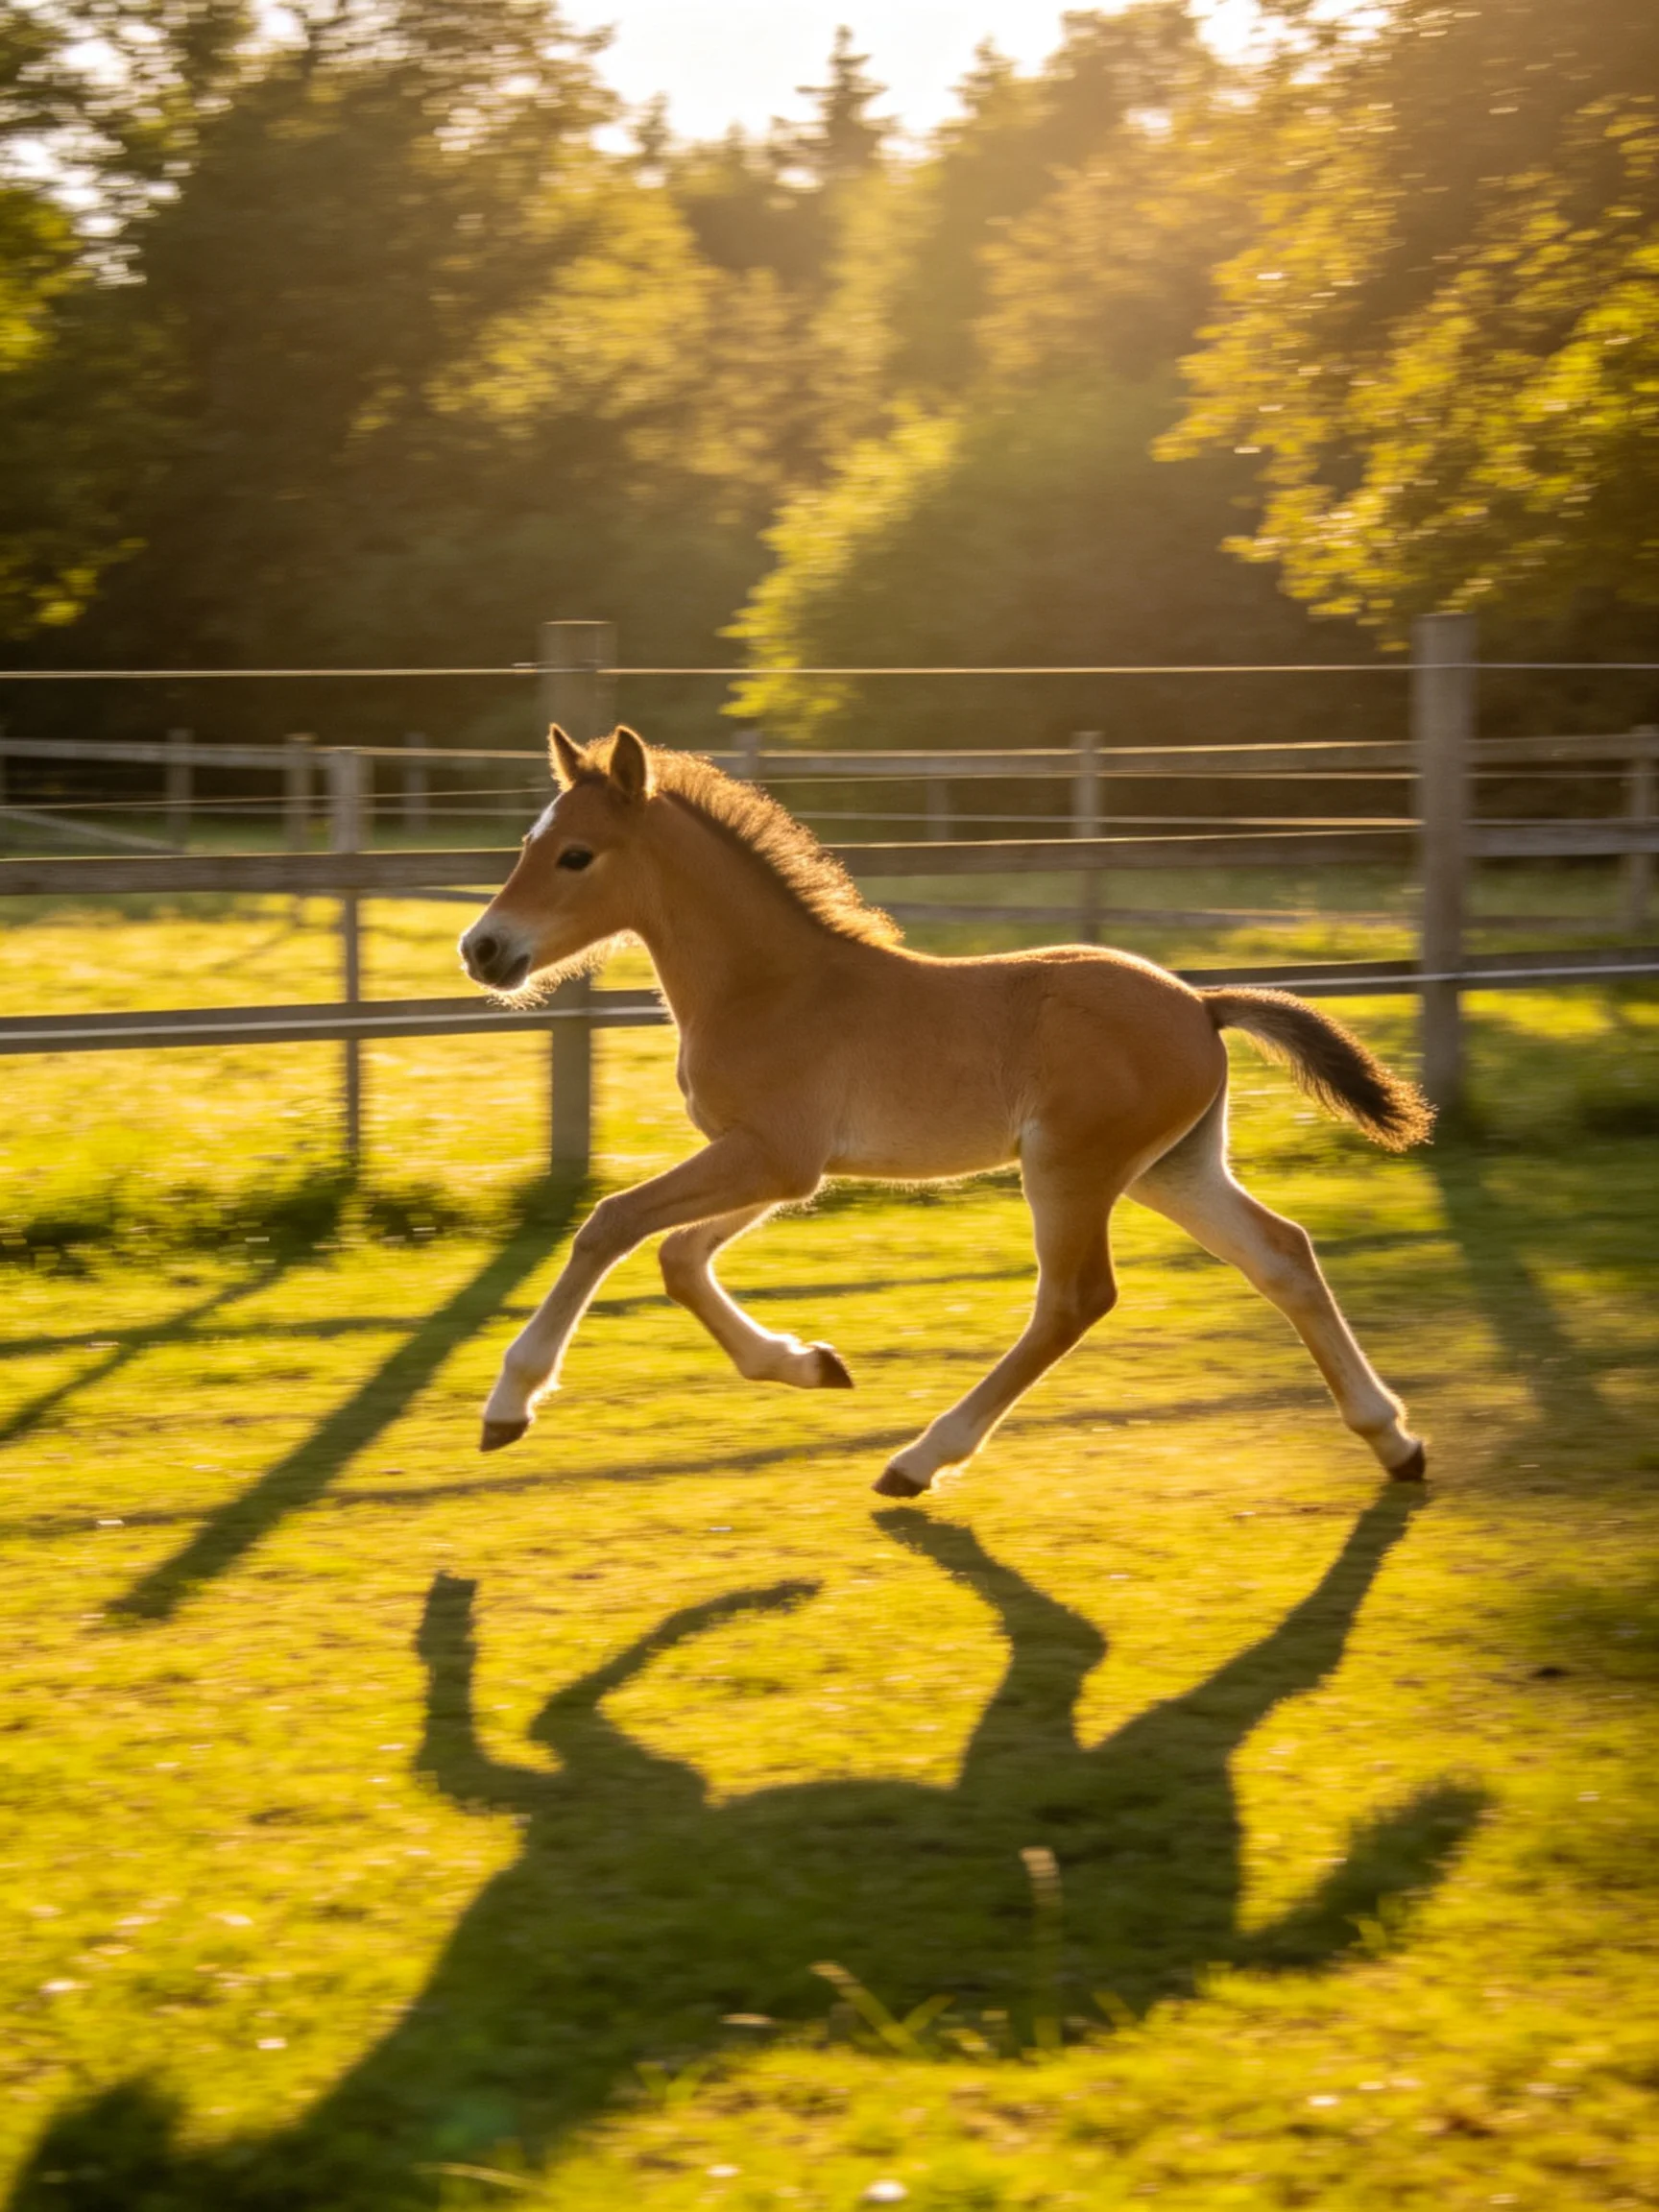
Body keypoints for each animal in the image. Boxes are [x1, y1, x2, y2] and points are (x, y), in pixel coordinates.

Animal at [459, 725, 1433, 1495]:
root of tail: (1202, 1003)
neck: (769, 985)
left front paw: (511, 1400)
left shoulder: (773, 1154)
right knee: (1282, 1254)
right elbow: (678, 1256)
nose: (483, 949)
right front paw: (807, 1365)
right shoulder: (783, 1167)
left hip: (1072, 1167)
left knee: (1075, 1299)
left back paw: (920, 1459)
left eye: (576, 855)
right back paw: (1393, 1439)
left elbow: (612, 1224)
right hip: (1172, 1167)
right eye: (529, 840)